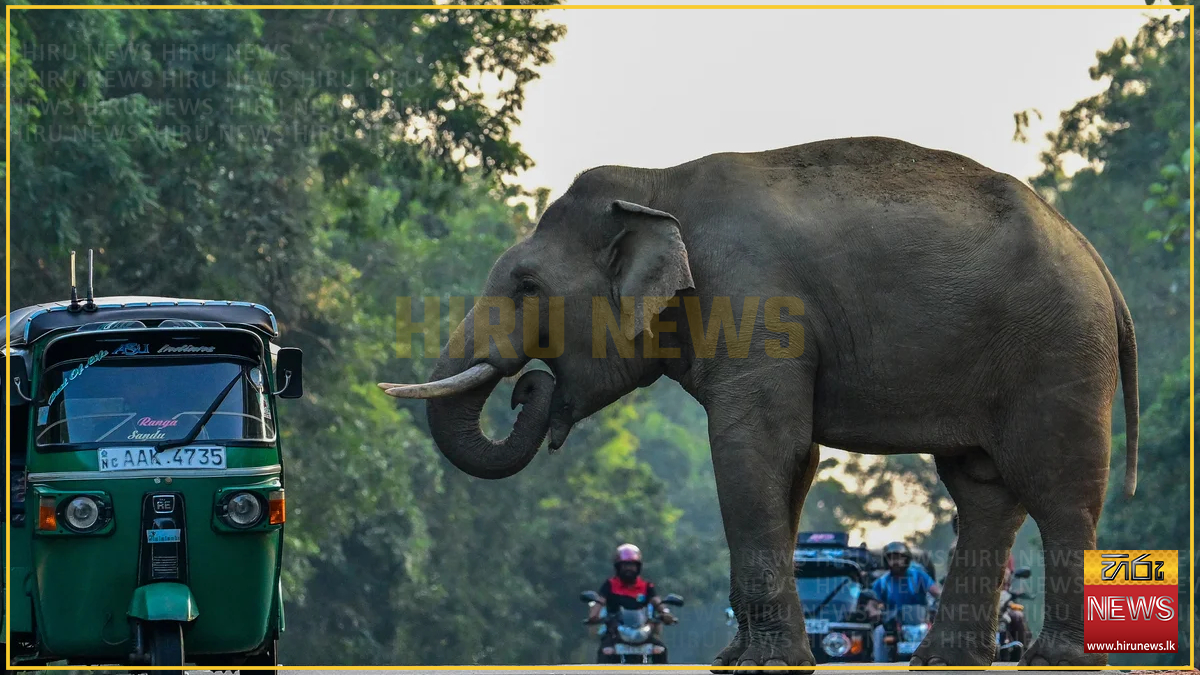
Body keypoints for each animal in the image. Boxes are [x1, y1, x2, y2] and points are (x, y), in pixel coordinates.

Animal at [380, 136, 1138, 671]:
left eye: (528, 285)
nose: (527, 387)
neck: (657, 184)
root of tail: (1096, 260)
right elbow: (790, 464)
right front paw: (734, 660)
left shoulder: (756, 306)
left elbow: (755, 449)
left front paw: (766, 663)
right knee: (983, 490)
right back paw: (944, 661)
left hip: (1057, 349)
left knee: (1058, 487)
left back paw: (1054, 659)